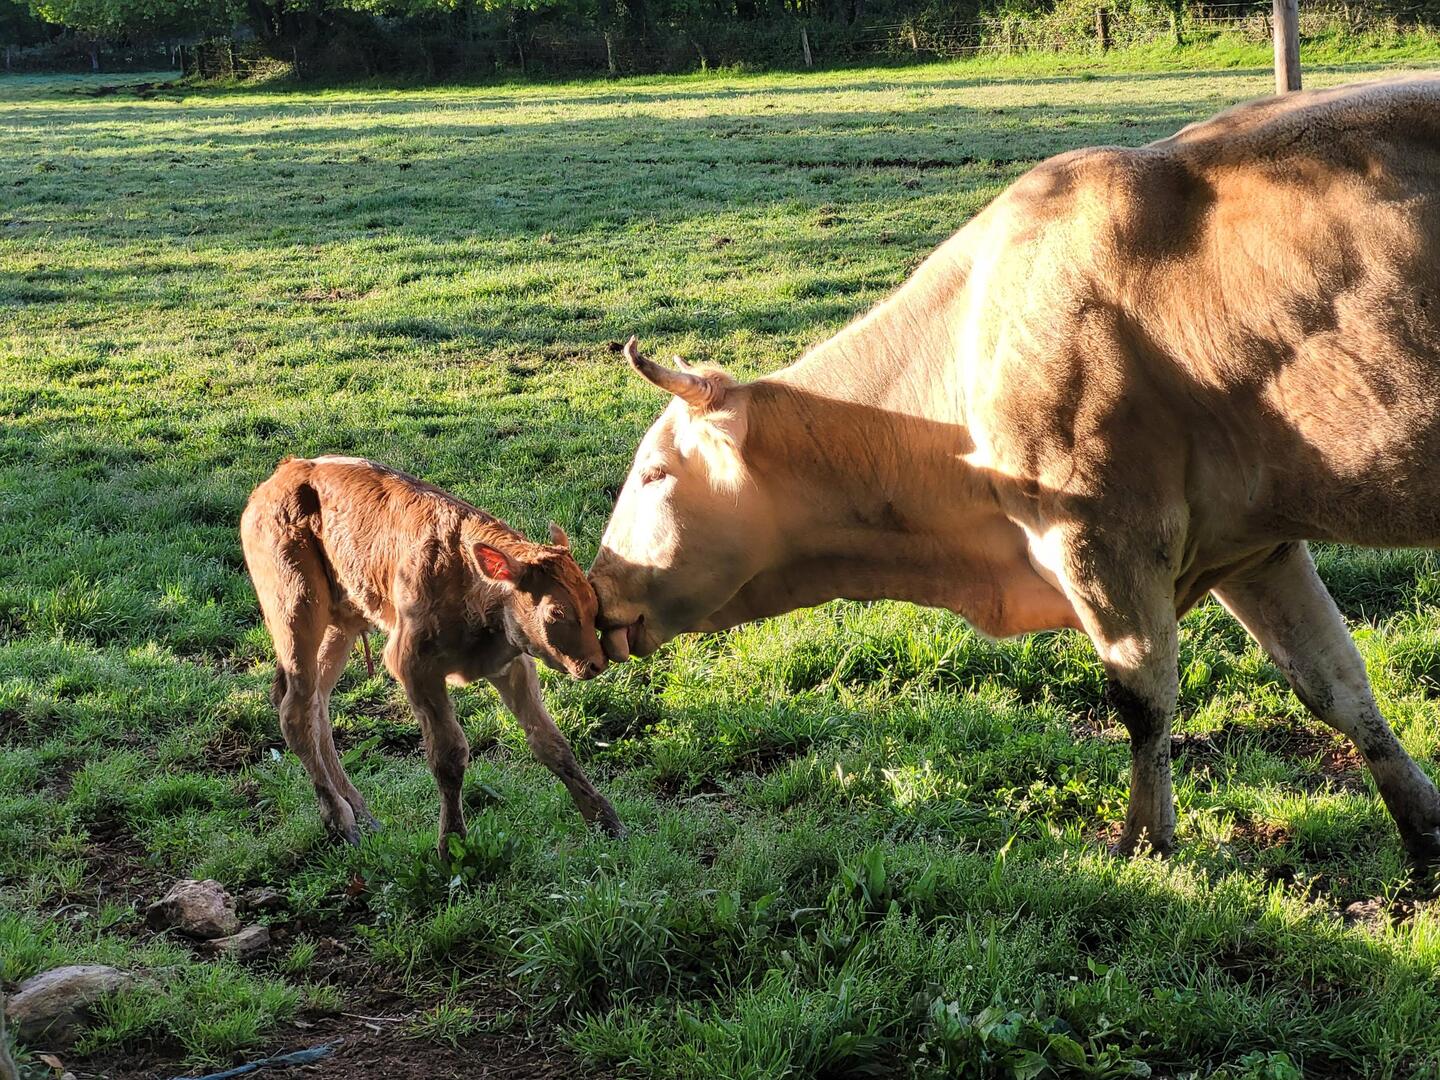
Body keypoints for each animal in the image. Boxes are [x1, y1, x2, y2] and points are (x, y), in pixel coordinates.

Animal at [241, 456, 623, 851]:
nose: (596, 663)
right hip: (295, 612)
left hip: (340, 624)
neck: (467, 578)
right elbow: (449, 756)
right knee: (295, 711)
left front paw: (605, 821)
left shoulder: (511, 664)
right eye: (556, 612)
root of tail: (289, 470)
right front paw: (451, 843)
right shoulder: (414, 666)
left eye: (593, 600)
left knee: (317, 703)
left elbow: (550, 742)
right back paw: (341, 820)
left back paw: (360, 812)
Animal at [589, 76, 1440, 867]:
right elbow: (1336, 683)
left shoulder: (1105, 536)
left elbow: (1144, 701)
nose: (597, 588)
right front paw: (1422, 823)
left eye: (655, 474)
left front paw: (1145, 843)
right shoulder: (1251, 543)